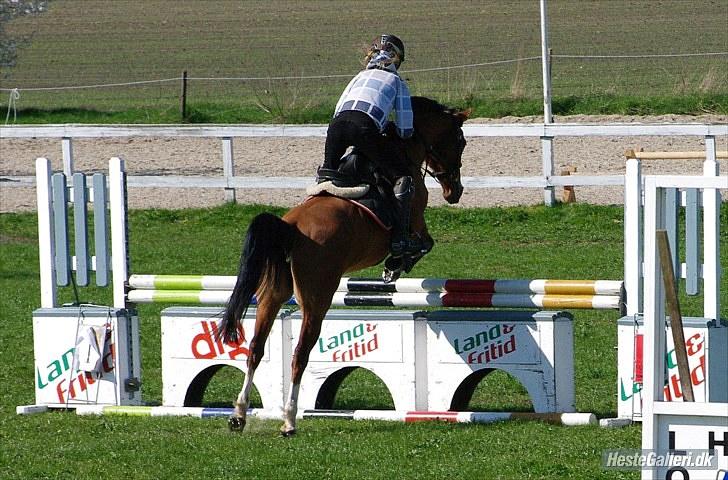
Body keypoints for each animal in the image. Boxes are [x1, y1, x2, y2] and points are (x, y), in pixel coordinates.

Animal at [221, 96, 470, 436]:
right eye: (460, 141)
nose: (454, 192)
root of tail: (291, 228)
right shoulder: (416, 217)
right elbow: (422, 244)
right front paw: (395, 264)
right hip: (316, 300)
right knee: (299, 354)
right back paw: (288, 420)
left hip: (271, 295)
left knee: (255, 350)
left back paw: (239, 414)